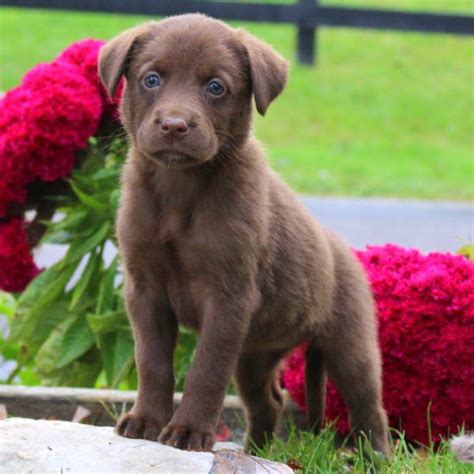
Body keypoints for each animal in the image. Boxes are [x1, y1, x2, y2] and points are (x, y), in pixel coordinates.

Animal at [98, 13, 386, 456]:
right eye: (151, 79)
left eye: (216, 87)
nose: (175, 125)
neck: (180, 190)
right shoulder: (144, 289)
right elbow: (152, 361)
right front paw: (146, 420)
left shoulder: (228, 296)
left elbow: (206, 368)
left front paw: (188, 432)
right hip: (256, 351)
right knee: (269, 401)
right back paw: (256, 452)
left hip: (349, 340)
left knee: (368, 404)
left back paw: (376, 458)